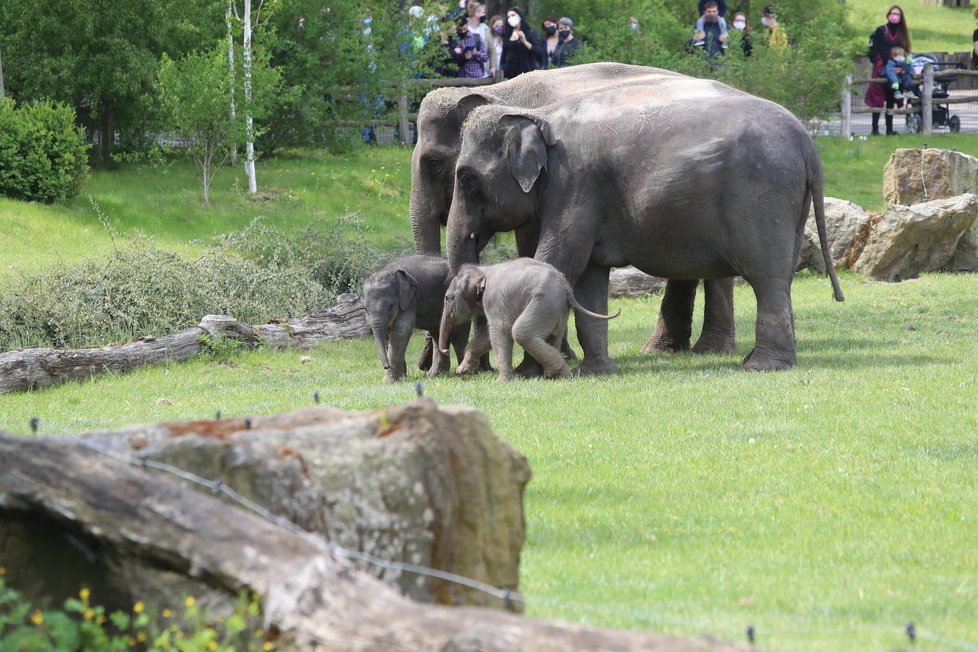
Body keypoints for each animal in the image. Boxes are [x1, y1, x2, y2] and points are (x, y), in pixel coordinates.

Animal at [360, 252, 468, 380]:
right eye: (365, 309)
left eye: (391, 306)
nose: (386, 366)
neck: (389, 269)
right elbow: (388, 333)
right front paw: (401, 377)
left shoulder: (410, 299)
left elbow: (400, 331)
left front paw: (389, 381)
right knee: (437, 332)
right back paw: (436, 374)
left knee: (458, 332)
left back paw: (463, 372)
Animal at [404, 61, 732, 360]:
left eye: (434, 163)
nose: (424, 365)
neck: (499, 90)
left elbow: (533, 245)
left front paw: (561, 353)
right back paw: (663, 349)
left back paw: (709, 349)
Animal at [440, 258, 616, 382]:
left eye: (448, 298)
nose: (445, 351)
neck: (483, 269)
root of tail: (567, 289)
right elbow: (487, 336)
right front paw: (462, 371)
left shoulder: (494, 299)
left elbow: (500, 331)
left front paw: (502, 382)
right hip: (558, 310)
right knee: (553, 336)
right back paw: (556, 374)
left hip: (543, 303)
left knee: (521, 333)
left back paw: (558, 373)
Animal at [446, 76, 844, 372]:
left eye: (466, 179)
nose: (467, 369)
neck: (538, 113)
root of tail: (809, 144)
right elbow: (588, 276)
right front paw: (595, 372)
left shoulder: (576, 185)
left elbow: (559, 261)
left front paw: (531, 373)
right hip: (791, 206)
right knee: (780, 276)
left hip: (763, 198)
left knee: (767, 276)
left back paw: (760, 366)